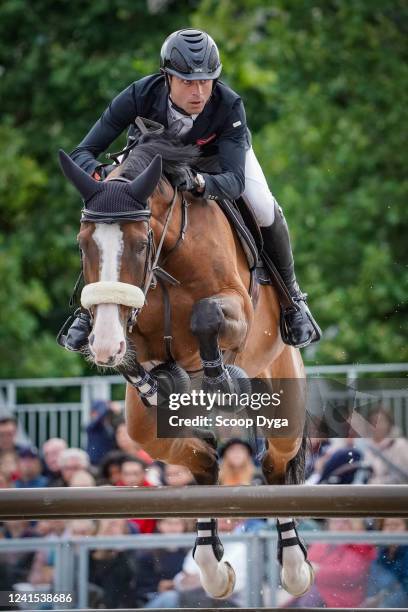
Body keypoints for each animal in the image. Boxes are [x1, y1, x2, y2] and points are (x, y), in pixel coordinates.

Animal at [57, 131, 312, 600]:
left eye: (140, 244)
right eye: (83, 245)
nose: (104, 345)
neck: (168, 258)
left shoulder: (237, 309)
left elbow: (206, 316)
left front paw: (221, 382)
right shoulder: (128, 330)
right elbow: (133, 357)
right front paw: (158, 382)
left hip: (283, 398)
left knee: (275, 466)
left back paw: (294, 566)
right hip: (144, 432)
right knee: (205, 460)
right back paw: (212, 567)